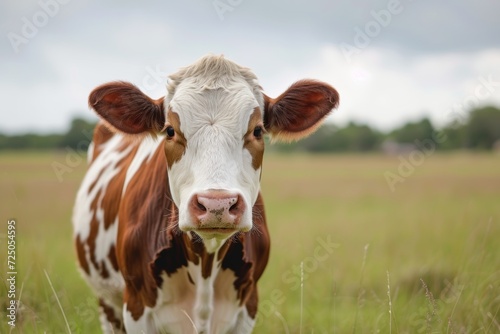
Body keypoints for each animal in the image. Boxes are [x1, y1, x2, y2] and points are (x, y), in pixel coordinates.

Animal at [73, 53, 340, 332]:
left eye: (257, 130)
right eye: (170, 130)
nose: (216, 205)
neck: (205, 262)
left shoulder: (248, 304)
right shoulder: (135, 304)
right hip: (107, 303)